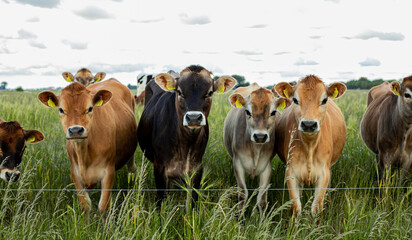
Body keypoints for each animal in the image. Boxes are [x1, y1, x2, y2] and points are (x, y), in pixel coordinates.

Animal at [37, 79, 137, 214]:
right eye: (61, 109)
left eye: (90, 108)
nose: (75, 130)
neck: (84, 154)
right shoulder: (75, 173)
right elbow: (85, 206)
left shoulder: (109, 171)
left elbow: (104, 206)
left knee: (132, 169)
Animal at [138, 65, 237, 206]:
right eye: (179, 92)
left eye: (210, 92)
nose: (194, 118)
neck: (185, 143)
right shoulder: (159, 168)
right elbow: (161, 200)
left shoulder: (196, 168)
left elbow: (193, 201)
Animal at [224, 82, 292, 216]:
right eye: (247, 111)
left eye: (273, 112)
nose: (260, 136)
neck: (255, 149)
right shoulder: (238, 163)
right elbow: (242, 195)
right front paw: (240, 218)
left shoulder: (267, 167)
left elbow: (262, 199)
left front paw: (262, 220)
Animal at [274, 76, 348, 218]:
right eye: (295, 100)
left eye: (324, 100)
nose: (308, 124)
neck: (309, 145)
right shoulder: (291, 172)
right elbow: (295, 207)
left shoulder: (324, 174)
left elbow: (317, 208)